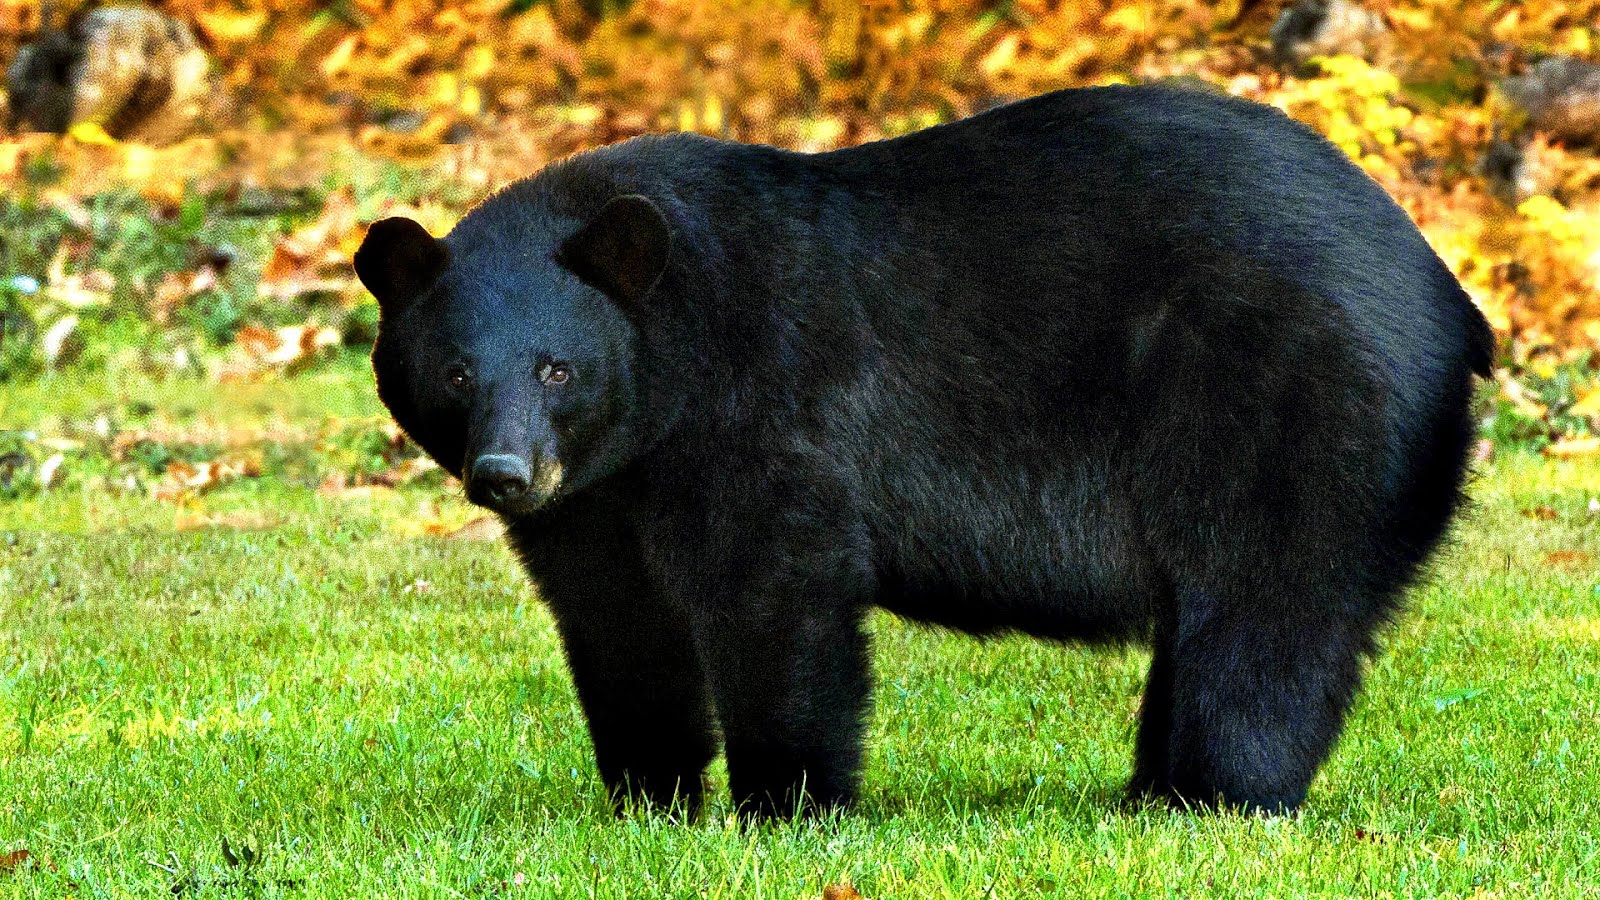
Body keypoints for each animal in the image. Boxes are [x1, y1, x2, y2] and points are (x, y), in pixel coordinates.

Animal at [353, 85, 1494, 820]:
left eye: (557, 368)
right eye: (455, 375)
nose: (507, 476)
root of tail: (1448, 294)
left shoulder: (759, 403)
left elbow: (776, 590)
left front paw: (787, 806)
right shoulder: (605, 493)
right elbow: (619, 621)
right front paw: (650, 799)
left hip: (1295, 402)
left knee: (1266, 613)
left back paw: (1211, 798)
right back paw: (1148, 793)